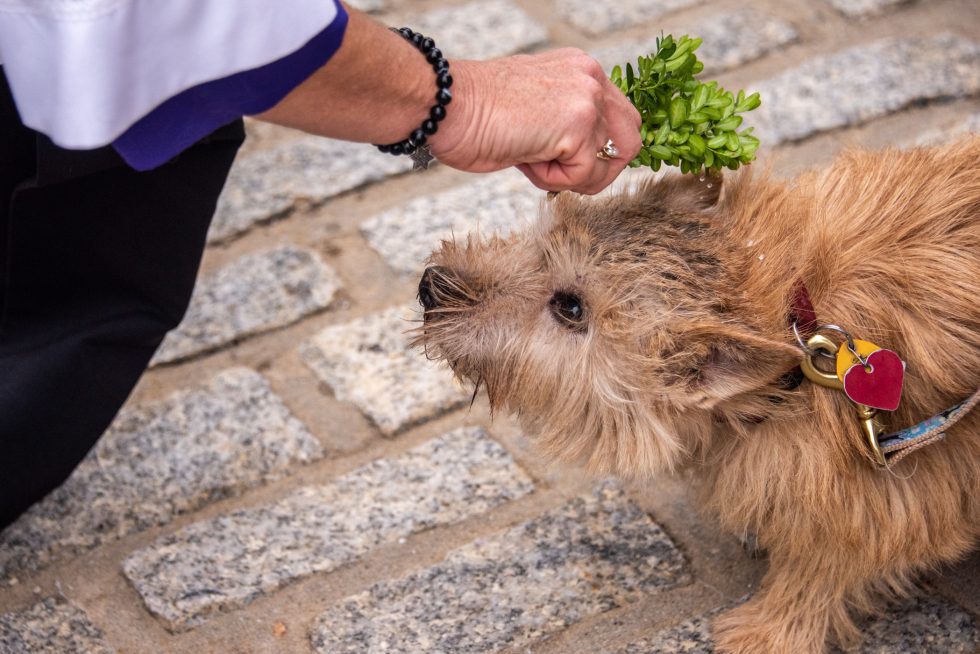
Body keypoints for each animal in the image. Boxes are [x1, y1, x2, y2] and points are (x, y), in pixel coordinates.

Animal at [414, 140, 980, 654]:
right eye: (537, 240)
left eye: (570, 307)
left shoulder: (900, 491)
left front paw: (767, 633)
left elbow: (822, 563)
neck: (790, 315)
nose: (431, 285)